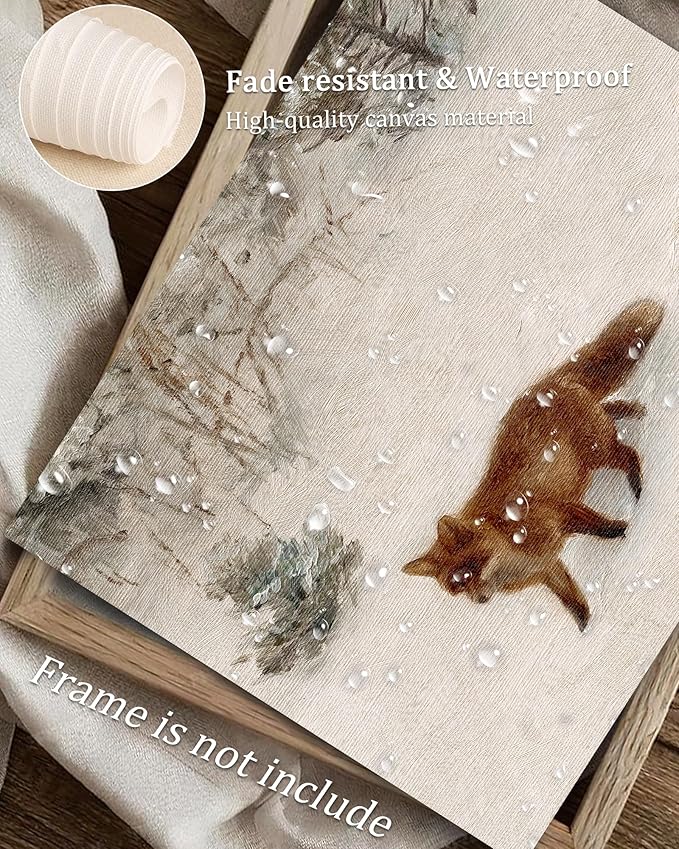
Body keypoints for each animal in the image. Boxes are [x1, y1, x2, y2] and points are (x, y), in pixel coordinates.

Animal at [403, 299, 665, 631]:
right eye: (456, 585)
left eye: (470, 569)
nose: (478, 599)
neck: (514, 549)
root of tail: (543, 386)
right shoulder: (548, 569)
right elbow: (573, 600)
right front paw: (585, 628)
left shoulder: (564, 512)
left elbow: (600, 527)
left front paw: (622, 530)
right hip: (598, 440)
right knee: (610, 409)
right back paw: (633, 410)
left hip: (600, 453)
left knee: (629, 453)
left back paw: (638, 487)